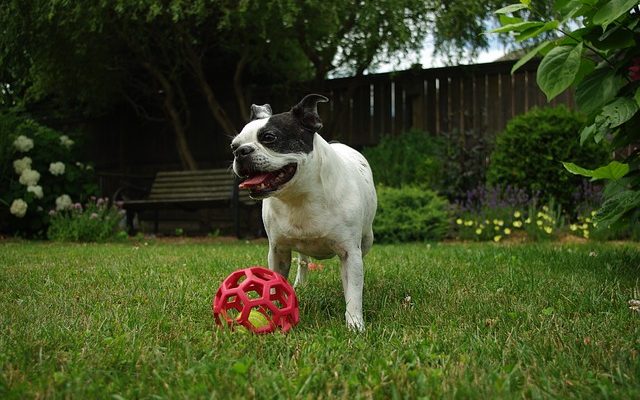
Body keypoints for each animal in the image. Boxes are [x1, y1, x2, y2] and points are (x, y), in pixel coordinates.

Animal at [232, 94, 378, 332]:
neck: (299, 196)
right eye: (233, 145)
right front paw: (270, 313)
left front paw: (355, 324)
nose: (241, 151)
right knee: (303, 260)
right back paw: (300, 283)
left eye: (269, 137)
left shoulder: (350, 253)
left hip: (366, 241)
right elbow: (274, 285)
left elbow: (354, 291)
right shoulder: (278, 251)